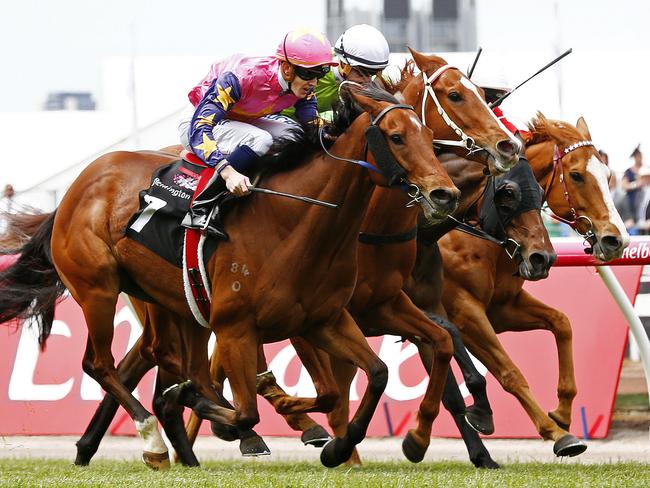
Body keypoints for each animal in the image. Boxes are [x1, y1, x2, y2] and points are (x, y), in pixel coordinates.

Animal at [0, 87, 458, 468]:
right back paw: (154, 439)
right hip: (98, 289)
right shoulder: (237, 327)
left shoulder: (324, 319)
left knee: (167, 358)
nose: (445, 194)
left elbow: (369, 376)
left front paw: (338, 446)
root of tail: (77, 188)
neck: (296, 223)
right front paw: (225, 416)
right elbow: (248, 410)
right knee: (100, 363)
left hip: (169, 301)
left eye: (429, 137)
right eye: (396, 137)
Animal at [404, 112, 628, 456]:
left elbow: (562, 323)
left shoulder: (502, 308)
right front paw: (555, 432)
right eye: (576, 175)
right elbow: (509, 371)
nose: (617, 239)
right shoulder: (464, 311)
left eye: (608, 174)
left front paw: (562, 411)